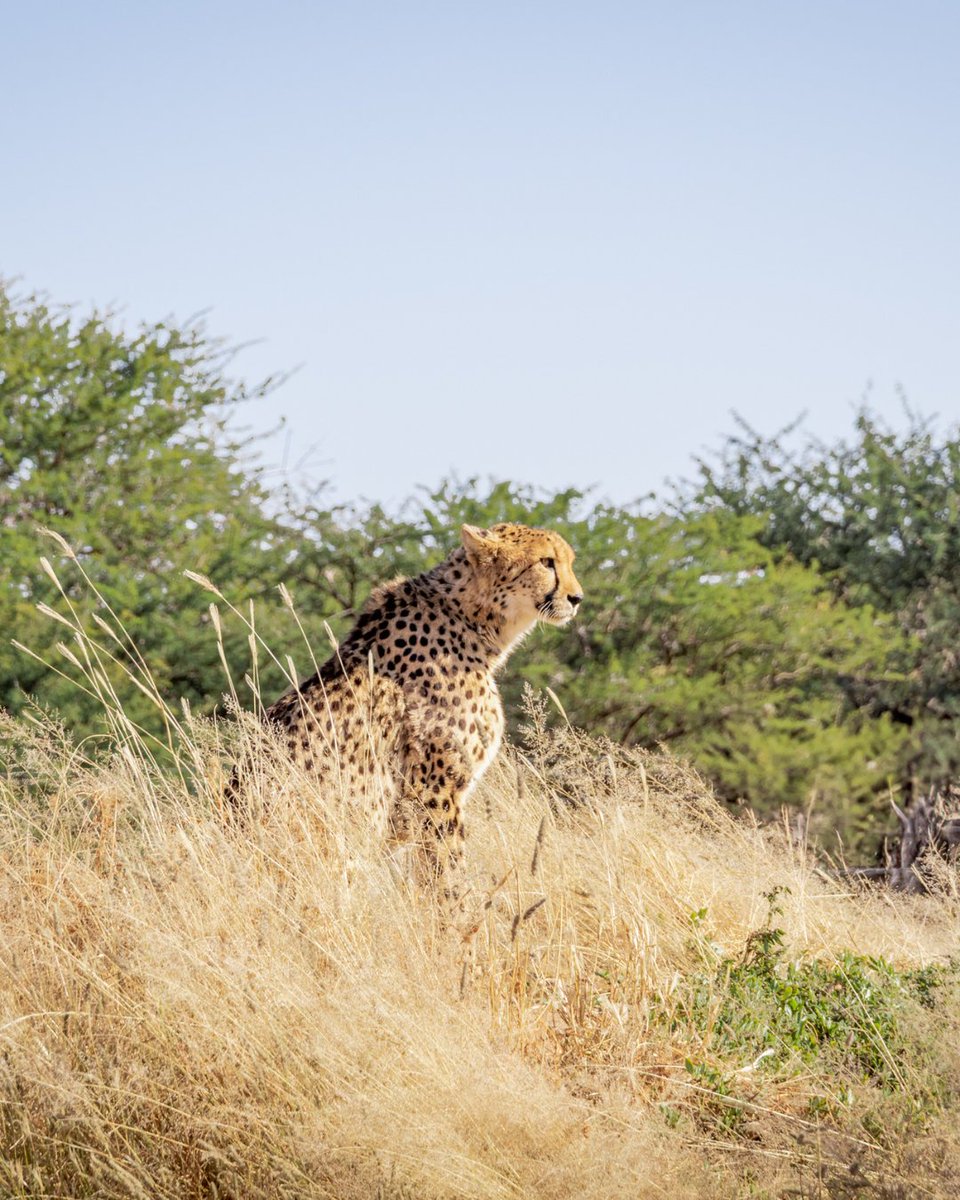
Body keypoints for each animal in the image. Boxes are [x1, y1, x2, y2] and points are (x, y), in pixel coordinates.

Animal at [231, 522, 582, 908]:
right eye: (546, 562)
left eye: (568, 562)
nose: (577, 598)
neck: (472, 617)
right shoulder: (434, 790)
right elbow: (446, 868)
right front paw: (459, 916)